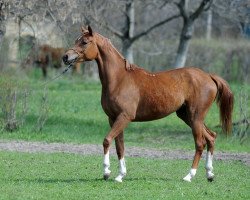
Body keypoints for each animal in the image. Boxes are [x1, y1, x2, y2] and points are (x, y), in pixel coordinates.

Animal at [63, 26, 234, 183]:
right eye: (76, 40)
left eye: (85, 42)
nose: (65, 57)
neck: (119, 79)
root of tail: (208, 76)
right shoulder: (113, 119)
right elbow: (120, 147)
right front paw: (120, 175)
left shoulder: (124, 117)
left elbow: (107, 140)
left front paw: (106, 172)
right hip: (188, 117)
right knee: (211, 137)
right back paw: (209, 174)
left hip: (195, 117)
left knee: (200, 143)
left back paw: (189, 176)